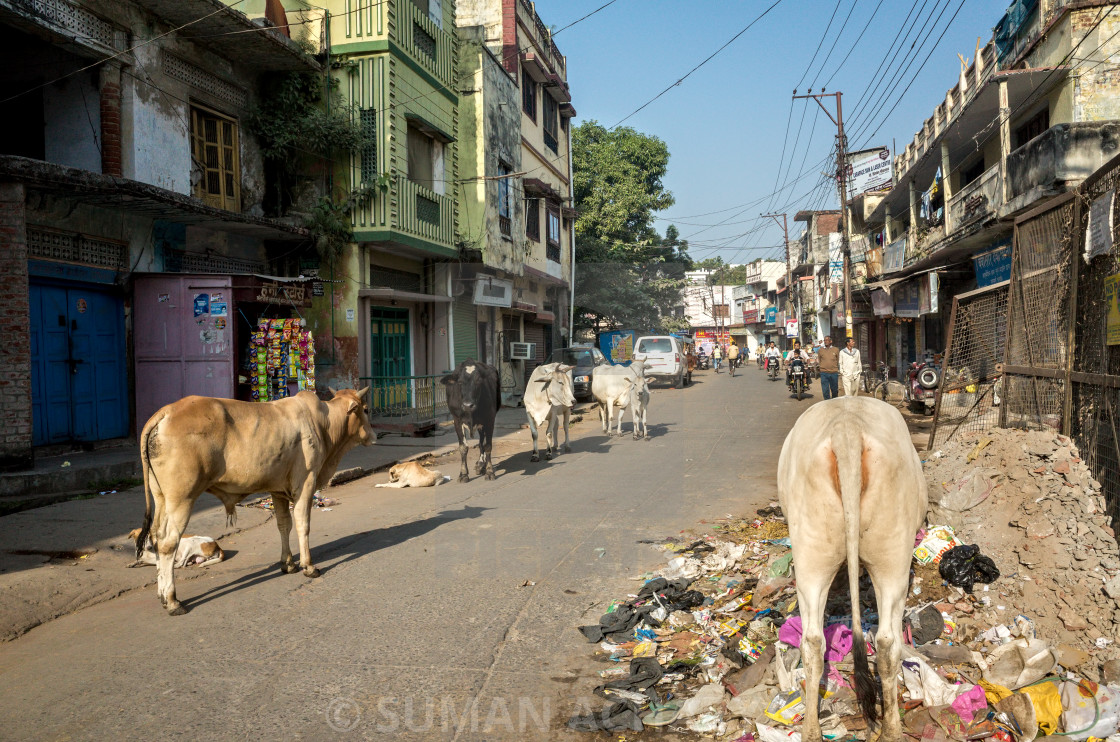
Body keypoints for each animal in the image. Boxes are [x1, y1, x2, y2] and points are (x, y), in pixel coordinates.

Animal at [134, 390, 371, 614]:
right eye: (366, 409)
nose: (373, 434)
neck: (323, 423)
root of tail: (166, 411)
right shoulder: (306, 483)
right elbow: (302, 524)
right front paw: (308, 566)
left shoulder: (278, 490)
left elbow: (284, 525)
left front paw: (288, 564)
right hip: (182, 498)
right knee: (168, 543)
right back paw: (173, 601)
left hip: (161, 497)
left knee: (156, 536)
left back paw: (162, 595)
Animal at [779, 401, 927, 742]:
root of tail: (846, 428)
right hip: (891, 552)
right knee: (886, 643)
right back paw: (891, 729)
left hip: (812, 551)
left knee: (814, 641)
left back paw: (813, 731)